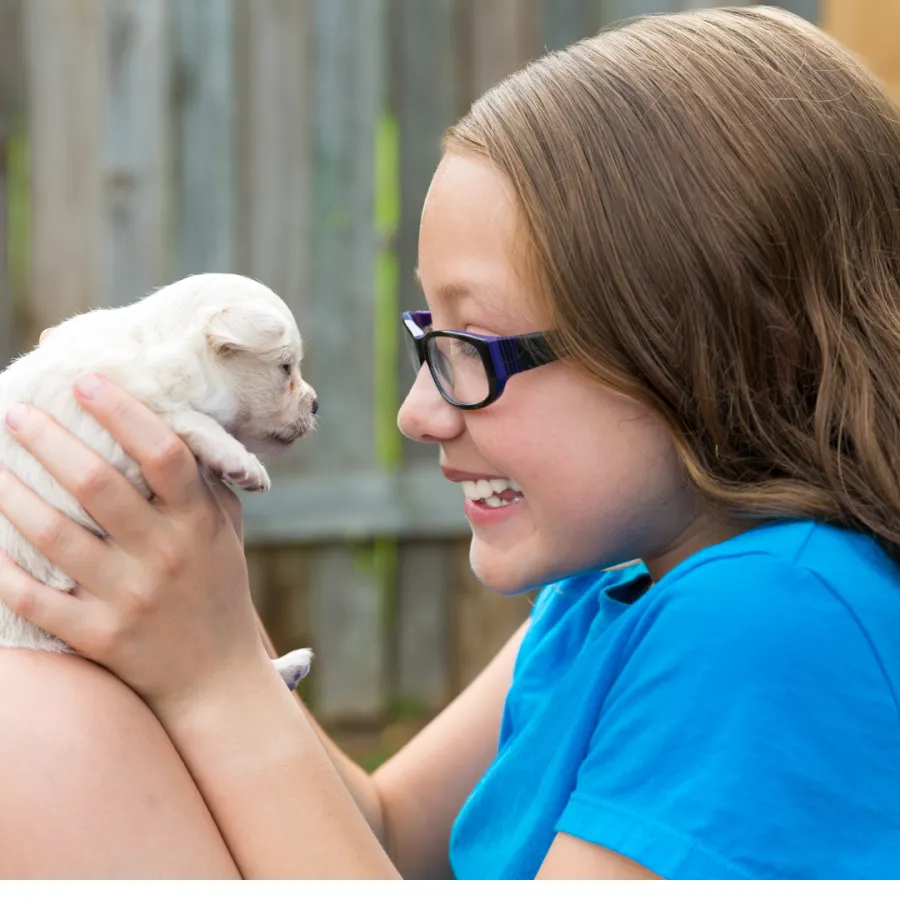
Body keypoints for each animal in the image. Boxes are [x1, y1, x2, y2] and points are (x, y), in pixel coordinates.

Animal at [0, 272, 316, 688]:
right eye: (285, 368)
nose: (315, 404)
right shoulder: (106, 415)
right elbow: (184, 417)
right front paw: (242, 462)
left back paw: (291, 667)